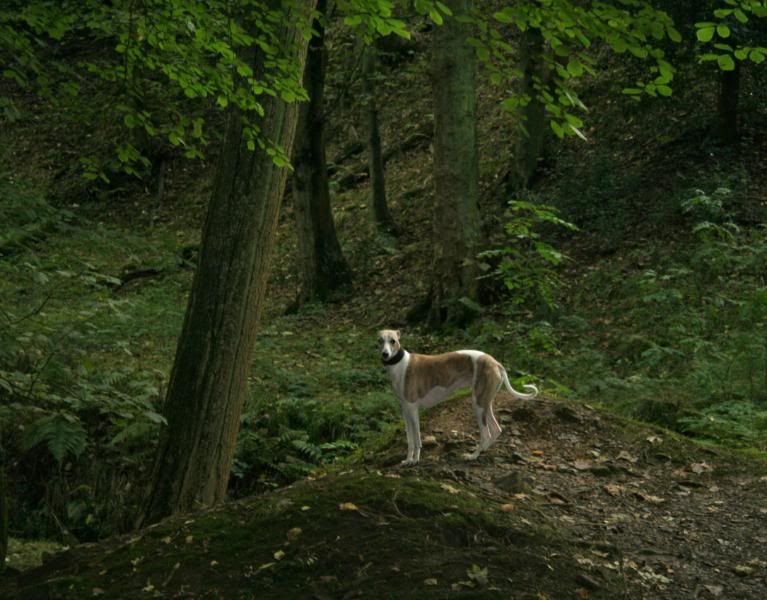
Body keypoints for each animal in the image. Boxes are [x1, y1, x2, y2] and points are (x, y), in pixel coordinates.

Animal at [380, 328, 540, 464]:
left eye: (393, 341)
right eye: (380, 340)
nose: (385, 354)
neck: (400, 364)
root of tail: (496, 363)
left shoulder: (413, 409)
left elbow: (417, 438)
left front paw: (415, 460)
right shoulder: (405, 410)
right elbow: (410, 439)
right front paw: (408, 460)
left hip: (478, 404)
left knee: (486, 434)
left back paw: (472, 456)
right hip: (485, 402)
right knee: (496, 429)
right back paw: (481, 451)